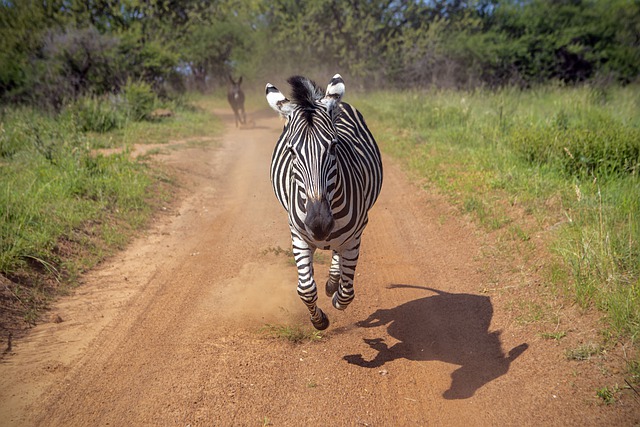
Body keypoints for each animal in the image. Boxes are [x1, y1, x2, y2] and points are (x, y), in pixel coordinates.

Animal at [266, 74, 384, 332]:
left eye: (333, 146)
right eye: (291, 152)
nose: (319, 225)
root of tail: (319, 97)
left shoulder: (355, 236)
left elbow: (347, 293)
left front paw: (335, 295)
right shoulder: (298, 235)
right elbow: (306, 289)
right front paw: (319, 320)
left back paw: (332, 281)